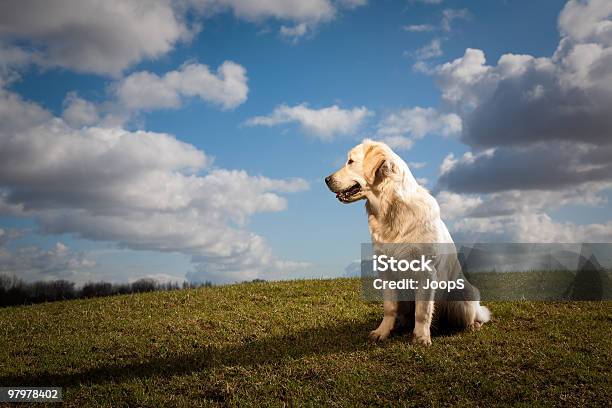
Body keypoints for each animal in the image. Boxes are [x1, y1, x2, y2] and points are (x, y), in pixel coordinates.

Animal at [326, 139, 492, 344]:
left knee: (472, 315)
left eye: (350, 161)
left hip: (464, 297)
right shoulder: (386, 272)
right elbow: (390, 308)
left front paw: (421, 337)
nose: (326, 179)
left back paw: (473, 325)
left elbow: (422, 311)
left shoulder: (426, 272)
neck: (390, 209)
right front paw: (382, 332)